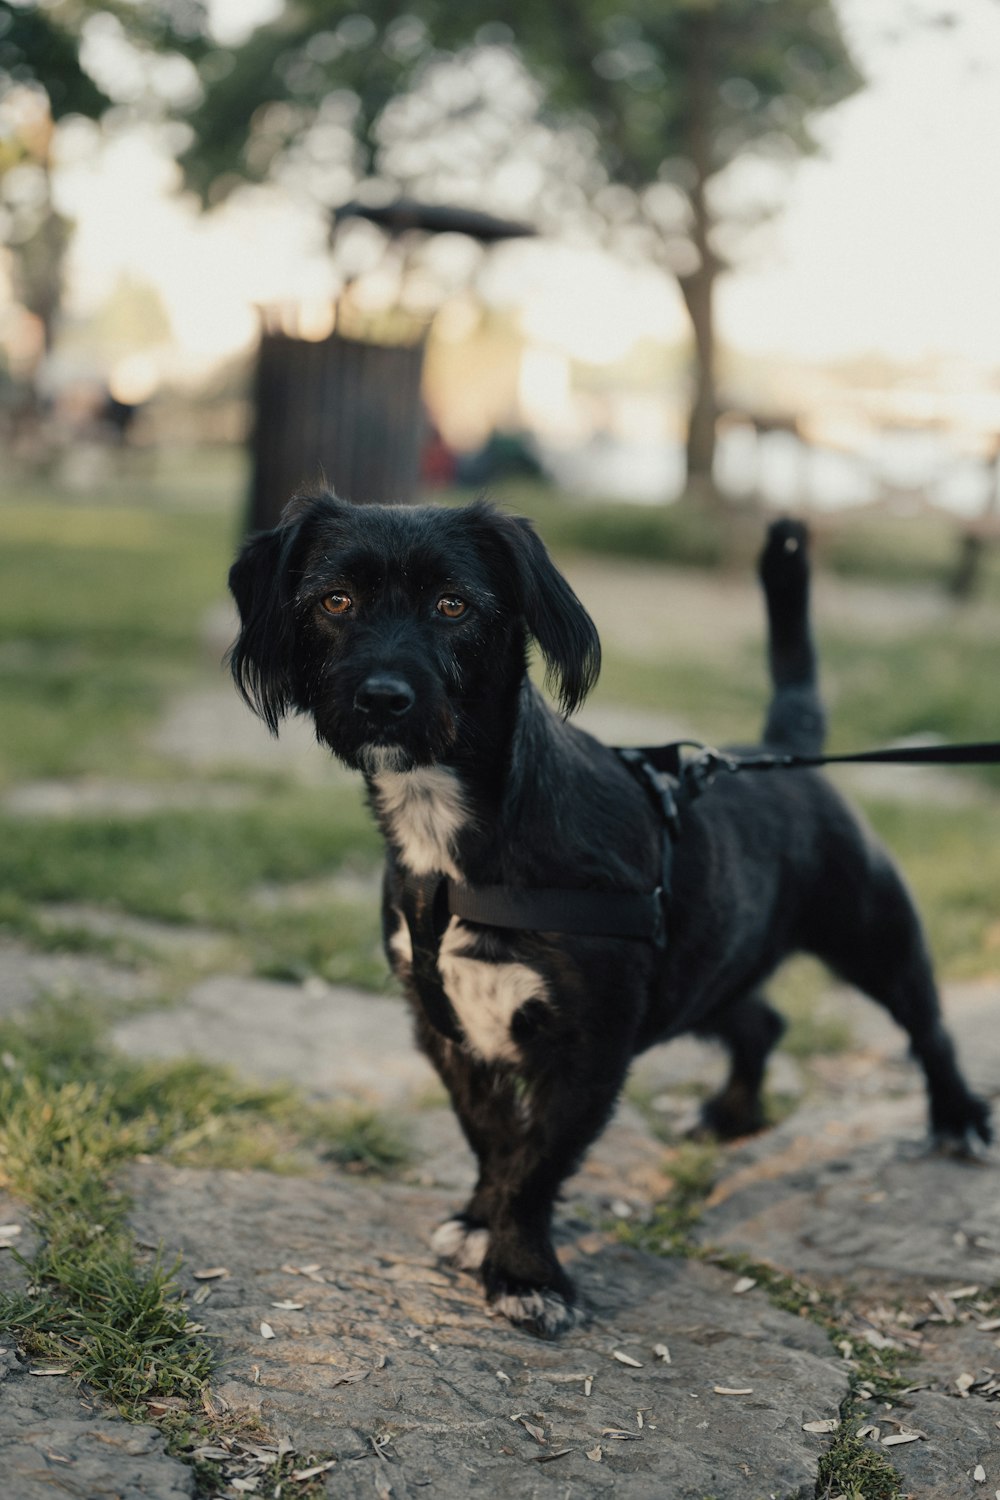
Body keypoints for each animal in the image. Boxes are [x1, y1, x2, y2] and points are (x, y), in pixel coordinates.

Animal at [230, 495, 989, 1338]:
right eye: (335, 601)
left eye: (453, 605)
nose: (383, 697)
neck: (459, 842)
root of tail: (779, 750)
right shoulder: (446, 1029)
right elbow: (492, 1139)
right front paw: (479, 1221)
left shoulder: (589, 1045)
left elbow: (536, 1162)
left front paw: (525, 1273)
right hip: (704, 968)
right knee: (763, 1022)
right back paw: (732, 1115)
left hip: (873, 934)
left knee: (929, 1028)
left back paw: (958, 1117)